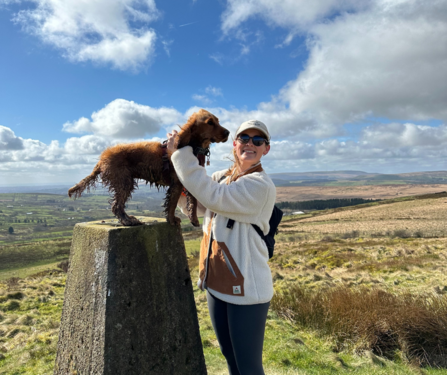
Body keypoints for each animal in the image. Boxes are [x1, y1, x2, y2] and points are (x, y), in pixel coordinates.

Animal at [70, 108, 231, 226]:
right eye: (210, 122)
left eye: (218, 121)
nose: (228, 132)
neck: (192, 146)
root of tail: (101, 160)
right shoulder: (177, 184)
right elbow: (172, 204)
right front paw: (172, 220)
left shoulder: (189, 182)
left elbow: (194, 201)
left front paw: (194, 219)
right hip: (124, 181)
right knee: (116, 205)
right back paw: (128, 220)